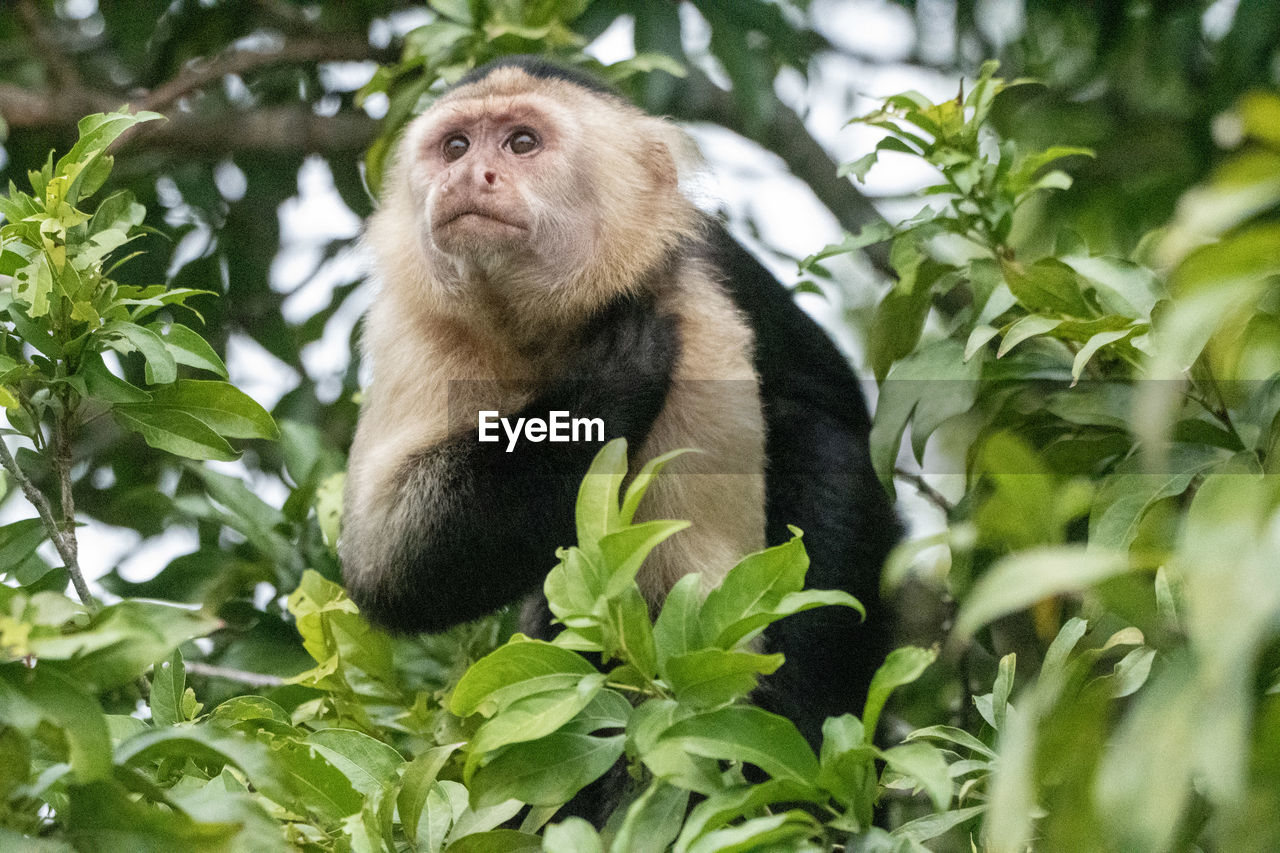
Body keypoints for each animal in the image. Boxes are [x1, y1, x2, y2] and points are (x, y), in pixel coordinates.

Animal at [340, 56, 901, 758]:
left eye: (522, 143)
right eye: (456, 147)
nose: (468, 175)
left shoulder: (693, 316)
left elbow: (703, 632)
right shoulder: (413, 322)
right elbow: (388, 560)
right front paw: (611, 382)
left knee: (820, 452)